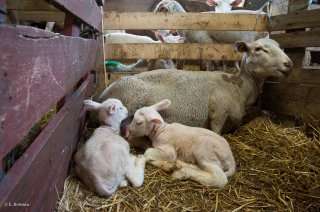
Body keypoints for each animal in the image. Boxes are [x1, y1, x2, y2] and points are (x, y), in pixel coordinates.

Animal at [99, 37, 292, 135]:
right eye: (258, 49)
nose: (288, 64)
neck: (239, 87)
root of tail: (103, 93)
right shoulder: (218, 112)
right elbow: (216, 132)